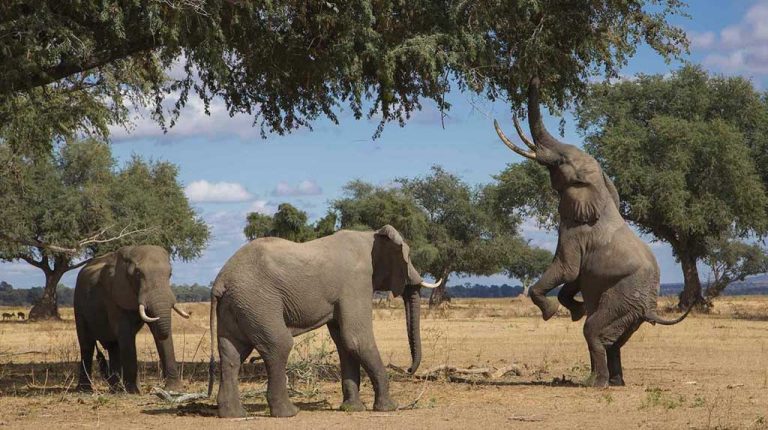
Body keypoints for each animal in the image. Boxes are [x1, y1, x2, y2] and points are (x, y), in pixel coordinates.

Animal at [74, 245, 192, 394]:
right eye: (138, 274)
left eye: (170, 274)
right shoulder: (114, 295)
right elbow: (125, 333)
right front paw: (133, 391)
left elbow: (155, 330)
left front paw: (174, 389)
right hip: (78, 305)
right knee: (86, 344)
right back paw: (86, 390)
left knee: (113, 346)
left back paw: (116, 389)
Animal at [207, 225, 440, 416]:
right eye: (407, 258)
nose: (408, 370)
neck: (370, 235)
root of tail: (220, 280)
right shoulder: (356, 282)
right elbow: (357, 339)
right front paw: (389, 408)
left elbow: (345, 344)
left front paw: (352, 409)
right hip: (258, 301)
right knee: (279, 345)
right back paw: (289, 412)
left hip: (238, 305)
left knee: (232, 353)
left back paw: (234, 414)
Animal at [492, 78, 696, 390]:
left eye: (559, 162)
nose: (535, 78)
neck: (599, 187)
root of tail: (650, 307)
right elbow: (575, 277)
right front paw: (575, 310)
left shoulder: (574, 230)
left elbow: (566, 269)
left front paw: (553, 311)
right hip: (630, 310)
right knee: (614, 342)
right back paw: (614, 382)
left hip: (623, 297)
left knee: (593, 331)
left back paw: (594, 384)